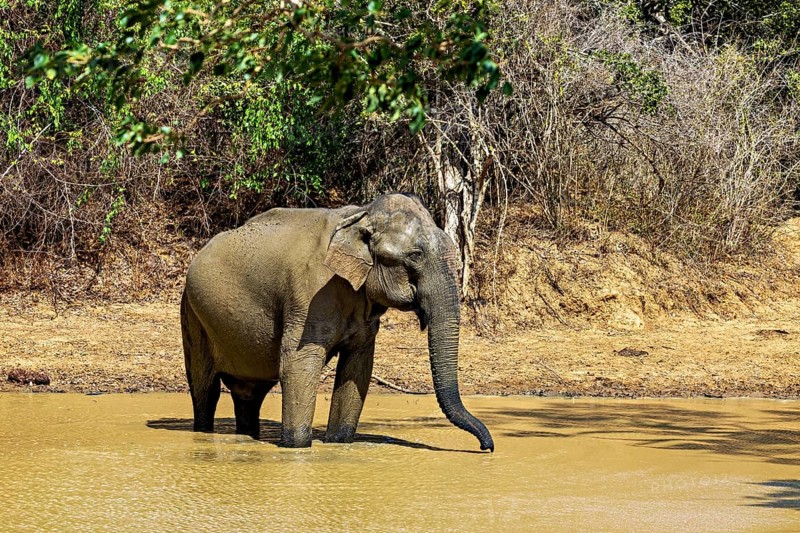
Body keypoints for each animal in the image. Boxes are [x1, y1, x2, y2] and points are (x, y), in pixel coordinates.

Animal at [180, 193, 494, 451]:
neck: (361, 214)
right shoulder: (309, 295)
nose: (486, 448)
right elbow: (298, 363)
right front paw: (296, 447)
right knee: (205, 389)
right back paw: (204, 430)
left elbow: (358, 367)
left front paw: (338, 444)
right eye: (415, 256)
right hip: (192, 314)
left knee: (249, 394)